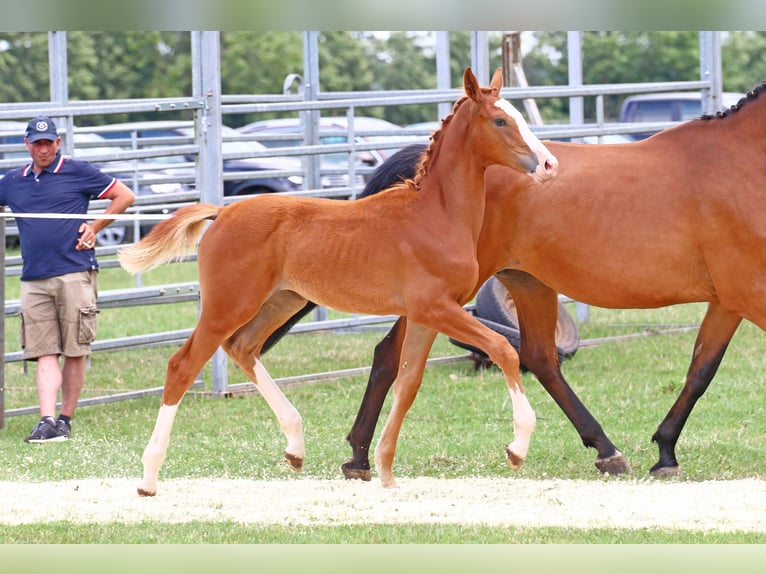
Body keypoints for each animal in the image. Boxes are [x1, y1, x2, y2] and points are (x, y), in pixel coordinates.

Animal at [121, 67, 564, 498]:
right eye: (500, 120)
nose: (548, 165)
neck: (434, 215)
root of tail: (221, 213)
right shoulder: (436, 307)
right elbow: (502, 349)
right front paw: (516, 448)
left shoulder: (425, 315)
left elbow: (408, 384)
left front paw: (384, 471)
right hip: (226, 305)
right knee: (182, 365)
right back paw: (148, 478)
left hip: (283, 301)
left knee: (243, 347)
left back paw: (295, 447)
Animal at [332, 84, 766, 482]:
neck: (743, 162)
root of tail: (424, 177)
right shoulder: (749, 294)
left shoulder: (729, 300)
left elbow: (700, 371)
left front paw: (665, 451)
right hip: (441, 296)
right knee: (389, 354)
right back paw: (359, 457)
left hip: (528, 283)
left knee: (540, 358)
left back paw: (606, 450)